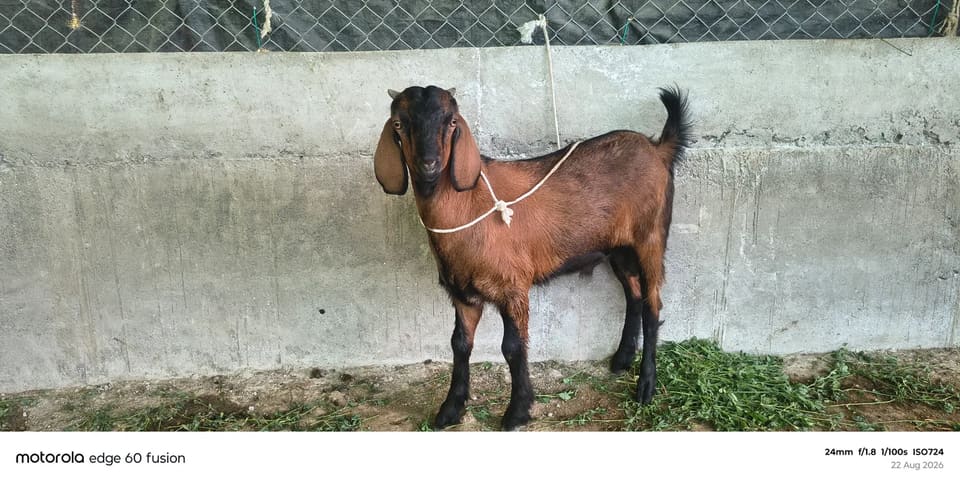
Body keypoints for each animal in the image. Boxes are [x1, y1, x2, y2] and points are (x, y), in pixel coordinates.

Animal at [373, 85, 691, 430]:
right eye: (399, 124)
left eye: (452, 121)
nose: (428, 164)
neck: (468, 206)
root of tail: (657, 149)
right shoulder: (463, 293)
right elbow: (459, 344)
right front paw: (449, 410)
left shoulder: (513, 287)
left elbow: (512, 348)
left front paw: (517, 412)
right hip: (619, 248)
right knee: (633, 295)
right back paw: (621, 359)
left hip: (651, 237)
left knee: (652, 305)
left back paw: (646, 386)